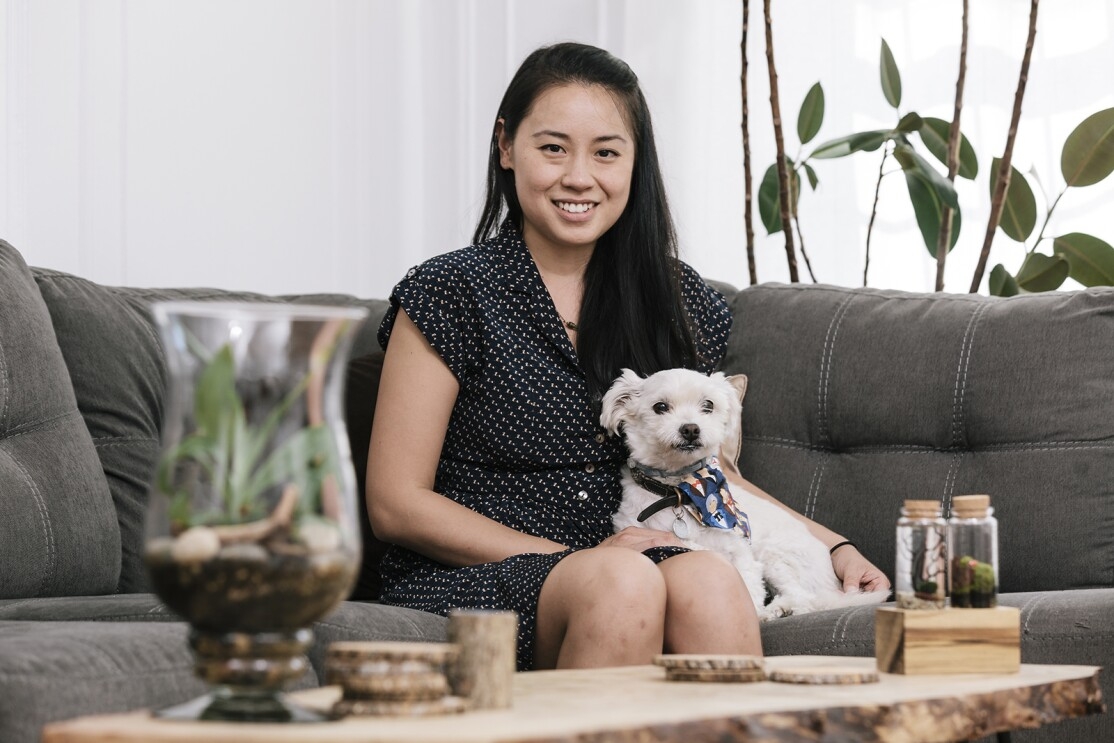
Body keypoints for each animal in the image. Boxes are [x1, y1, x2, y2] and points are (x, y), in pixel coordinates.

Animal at [601, 367, 886, 623]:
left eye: (708, 405)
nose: (691, 429)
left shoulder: (739, 548)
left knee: (805, 598)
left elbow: (748, 583)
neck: (680, 491)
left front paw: (755, 611)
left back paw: (779, 610)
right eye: (660, 407)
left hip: (776, 553)